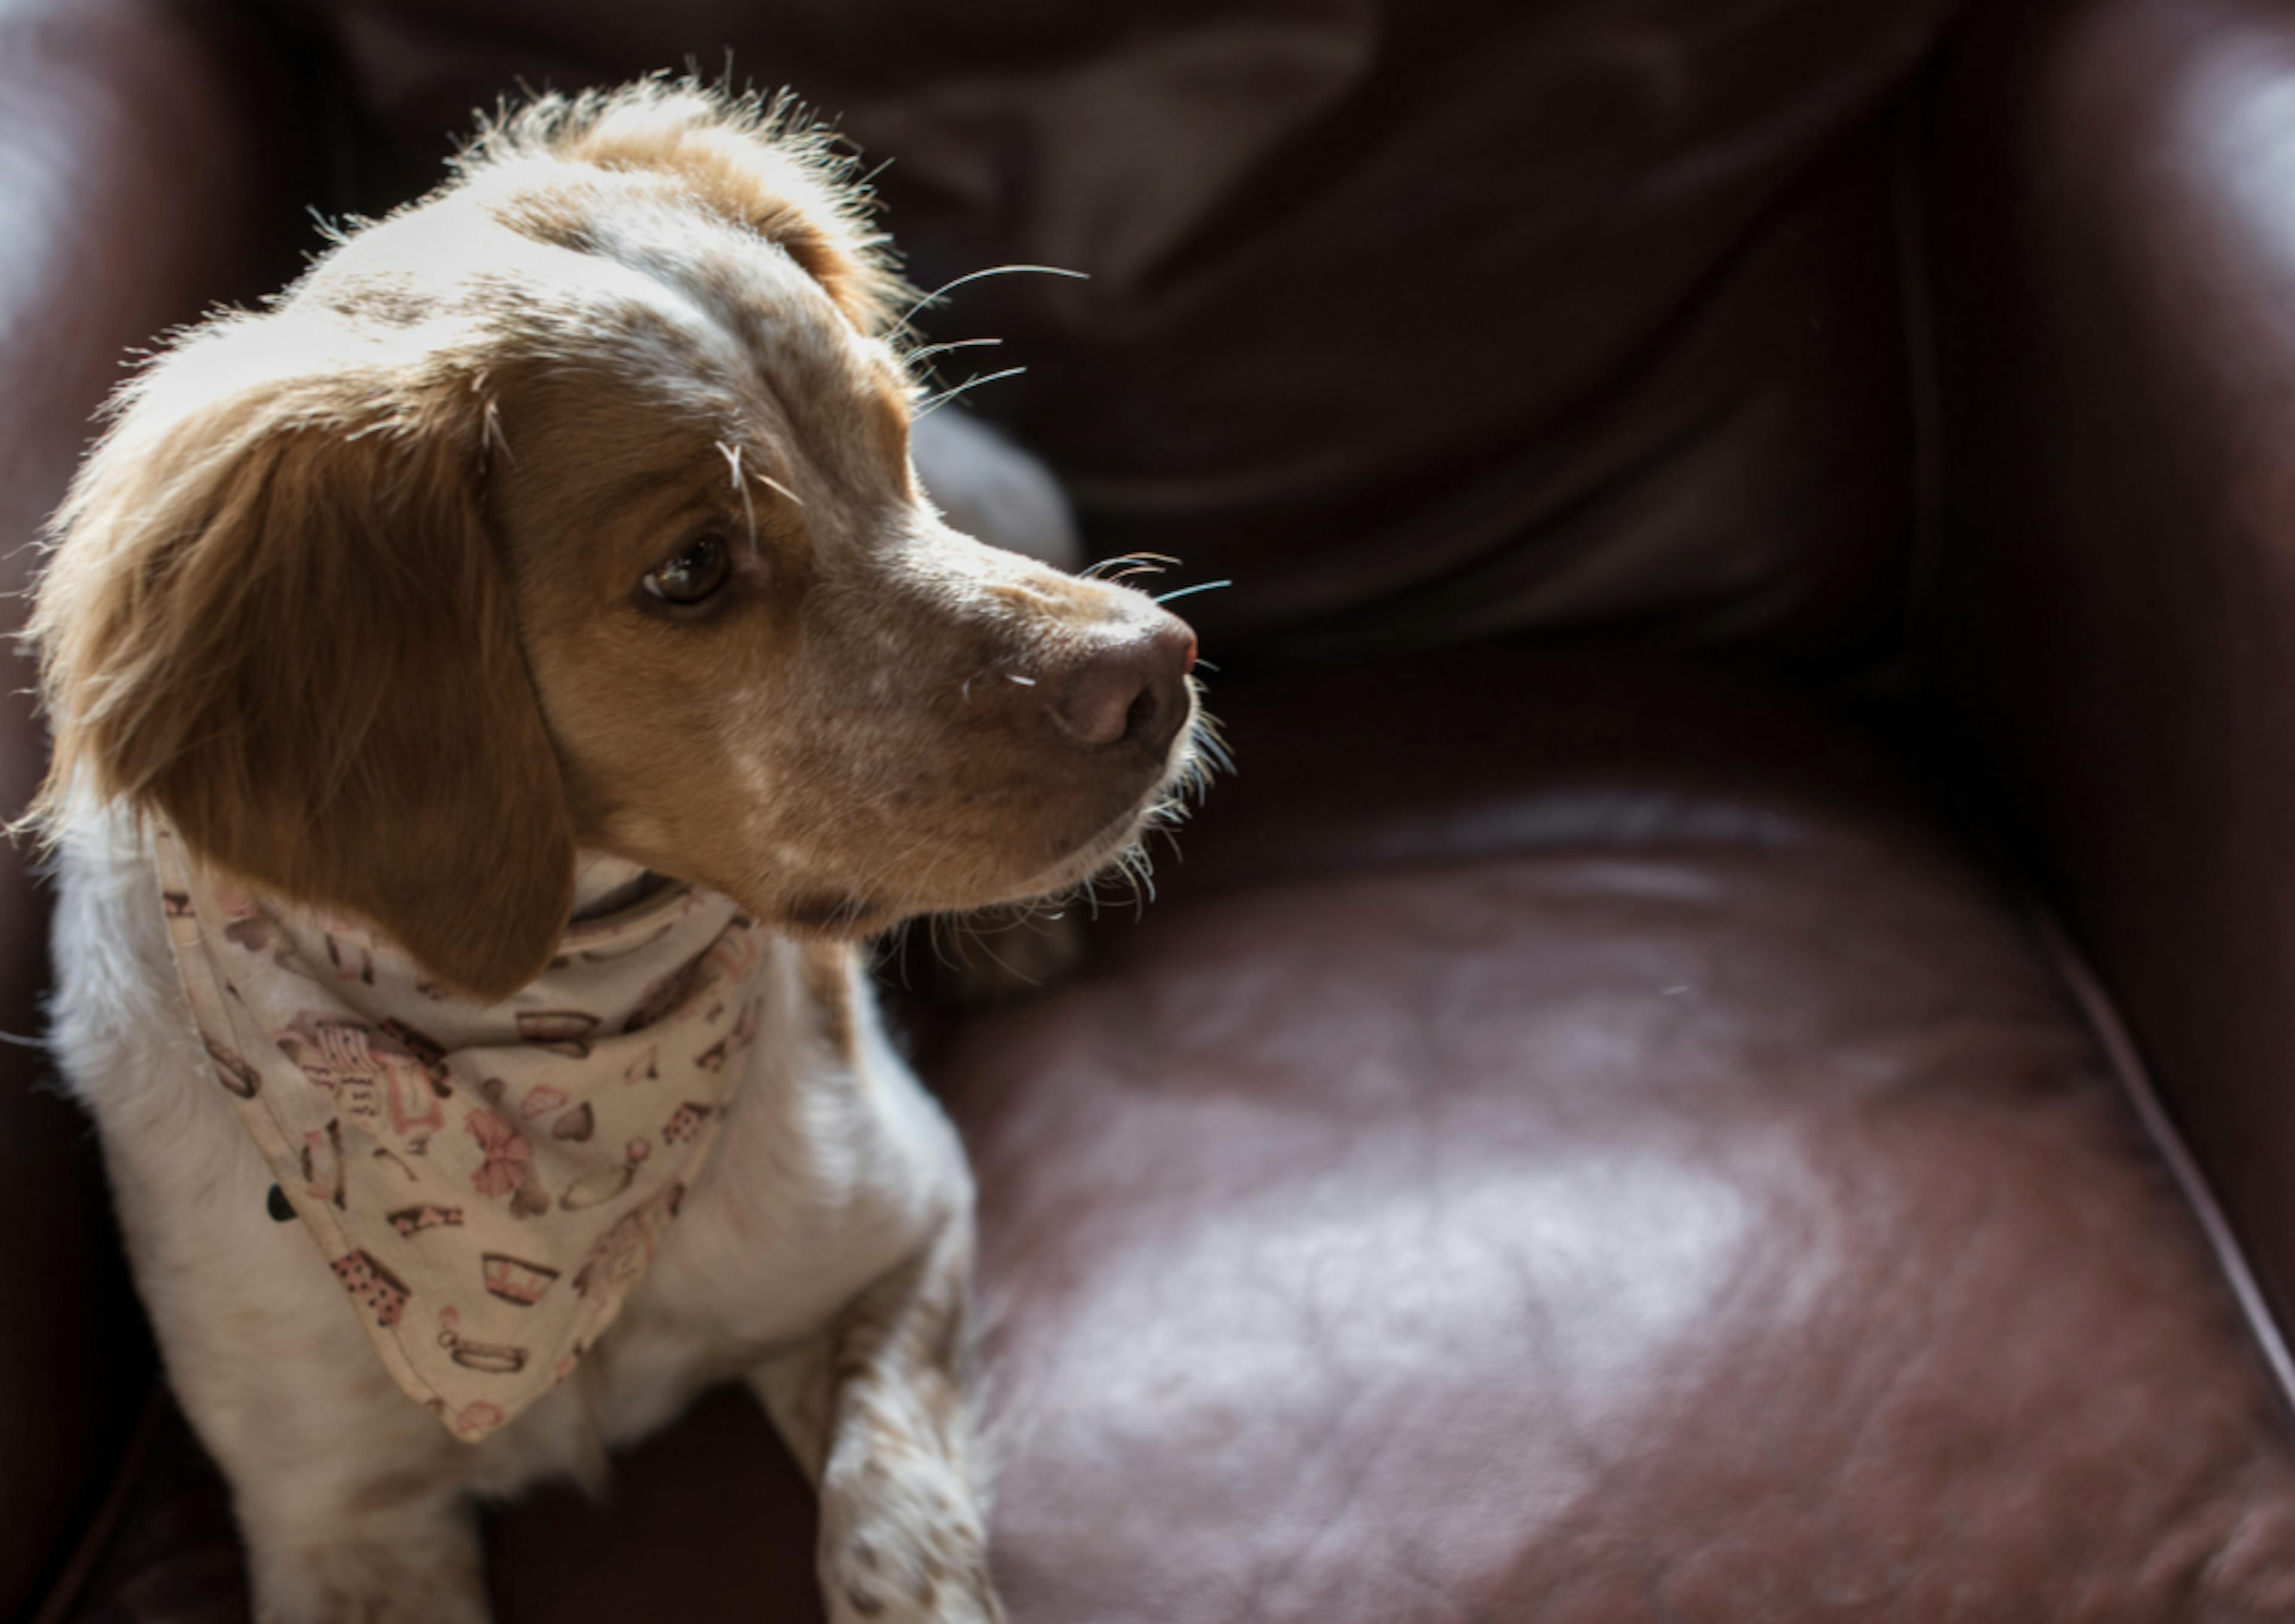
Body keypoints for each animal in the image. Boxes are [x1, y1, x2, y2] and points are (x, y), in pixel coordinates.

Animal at [27, 85, 1211, 1624]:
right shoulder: (332, 1519)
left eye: (885, 446)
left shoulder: (905, 1232)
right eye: (691, 568)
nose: (1157, 674)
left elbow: (889, 1529)